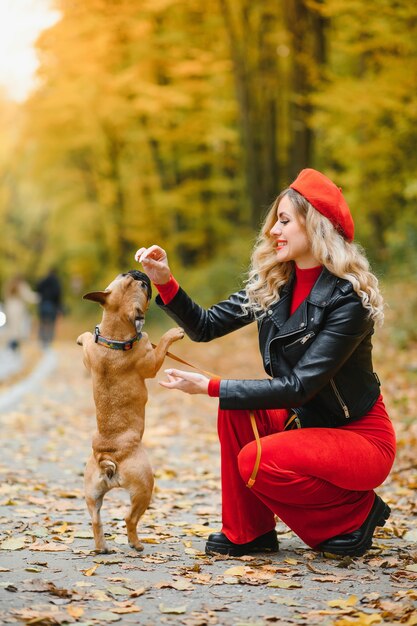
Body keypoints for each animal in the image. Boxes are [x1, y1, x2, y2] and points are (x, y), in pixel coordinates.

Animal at [77, 270, 184, 552]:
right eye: (142, 286)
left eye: (124, 277)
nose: (137, 272)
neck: (114, 336)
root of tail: (108, 458)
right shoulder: (152, 361)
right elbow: (161, 346)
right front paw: (174, 332)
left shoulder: (90, 355)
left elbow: (87, 340)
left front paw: (81, 337)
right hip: (144, 486)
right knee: (129, 518)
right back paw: (136, 544)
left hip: (91, 493)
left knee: (96, 520)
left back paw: (102, 548)